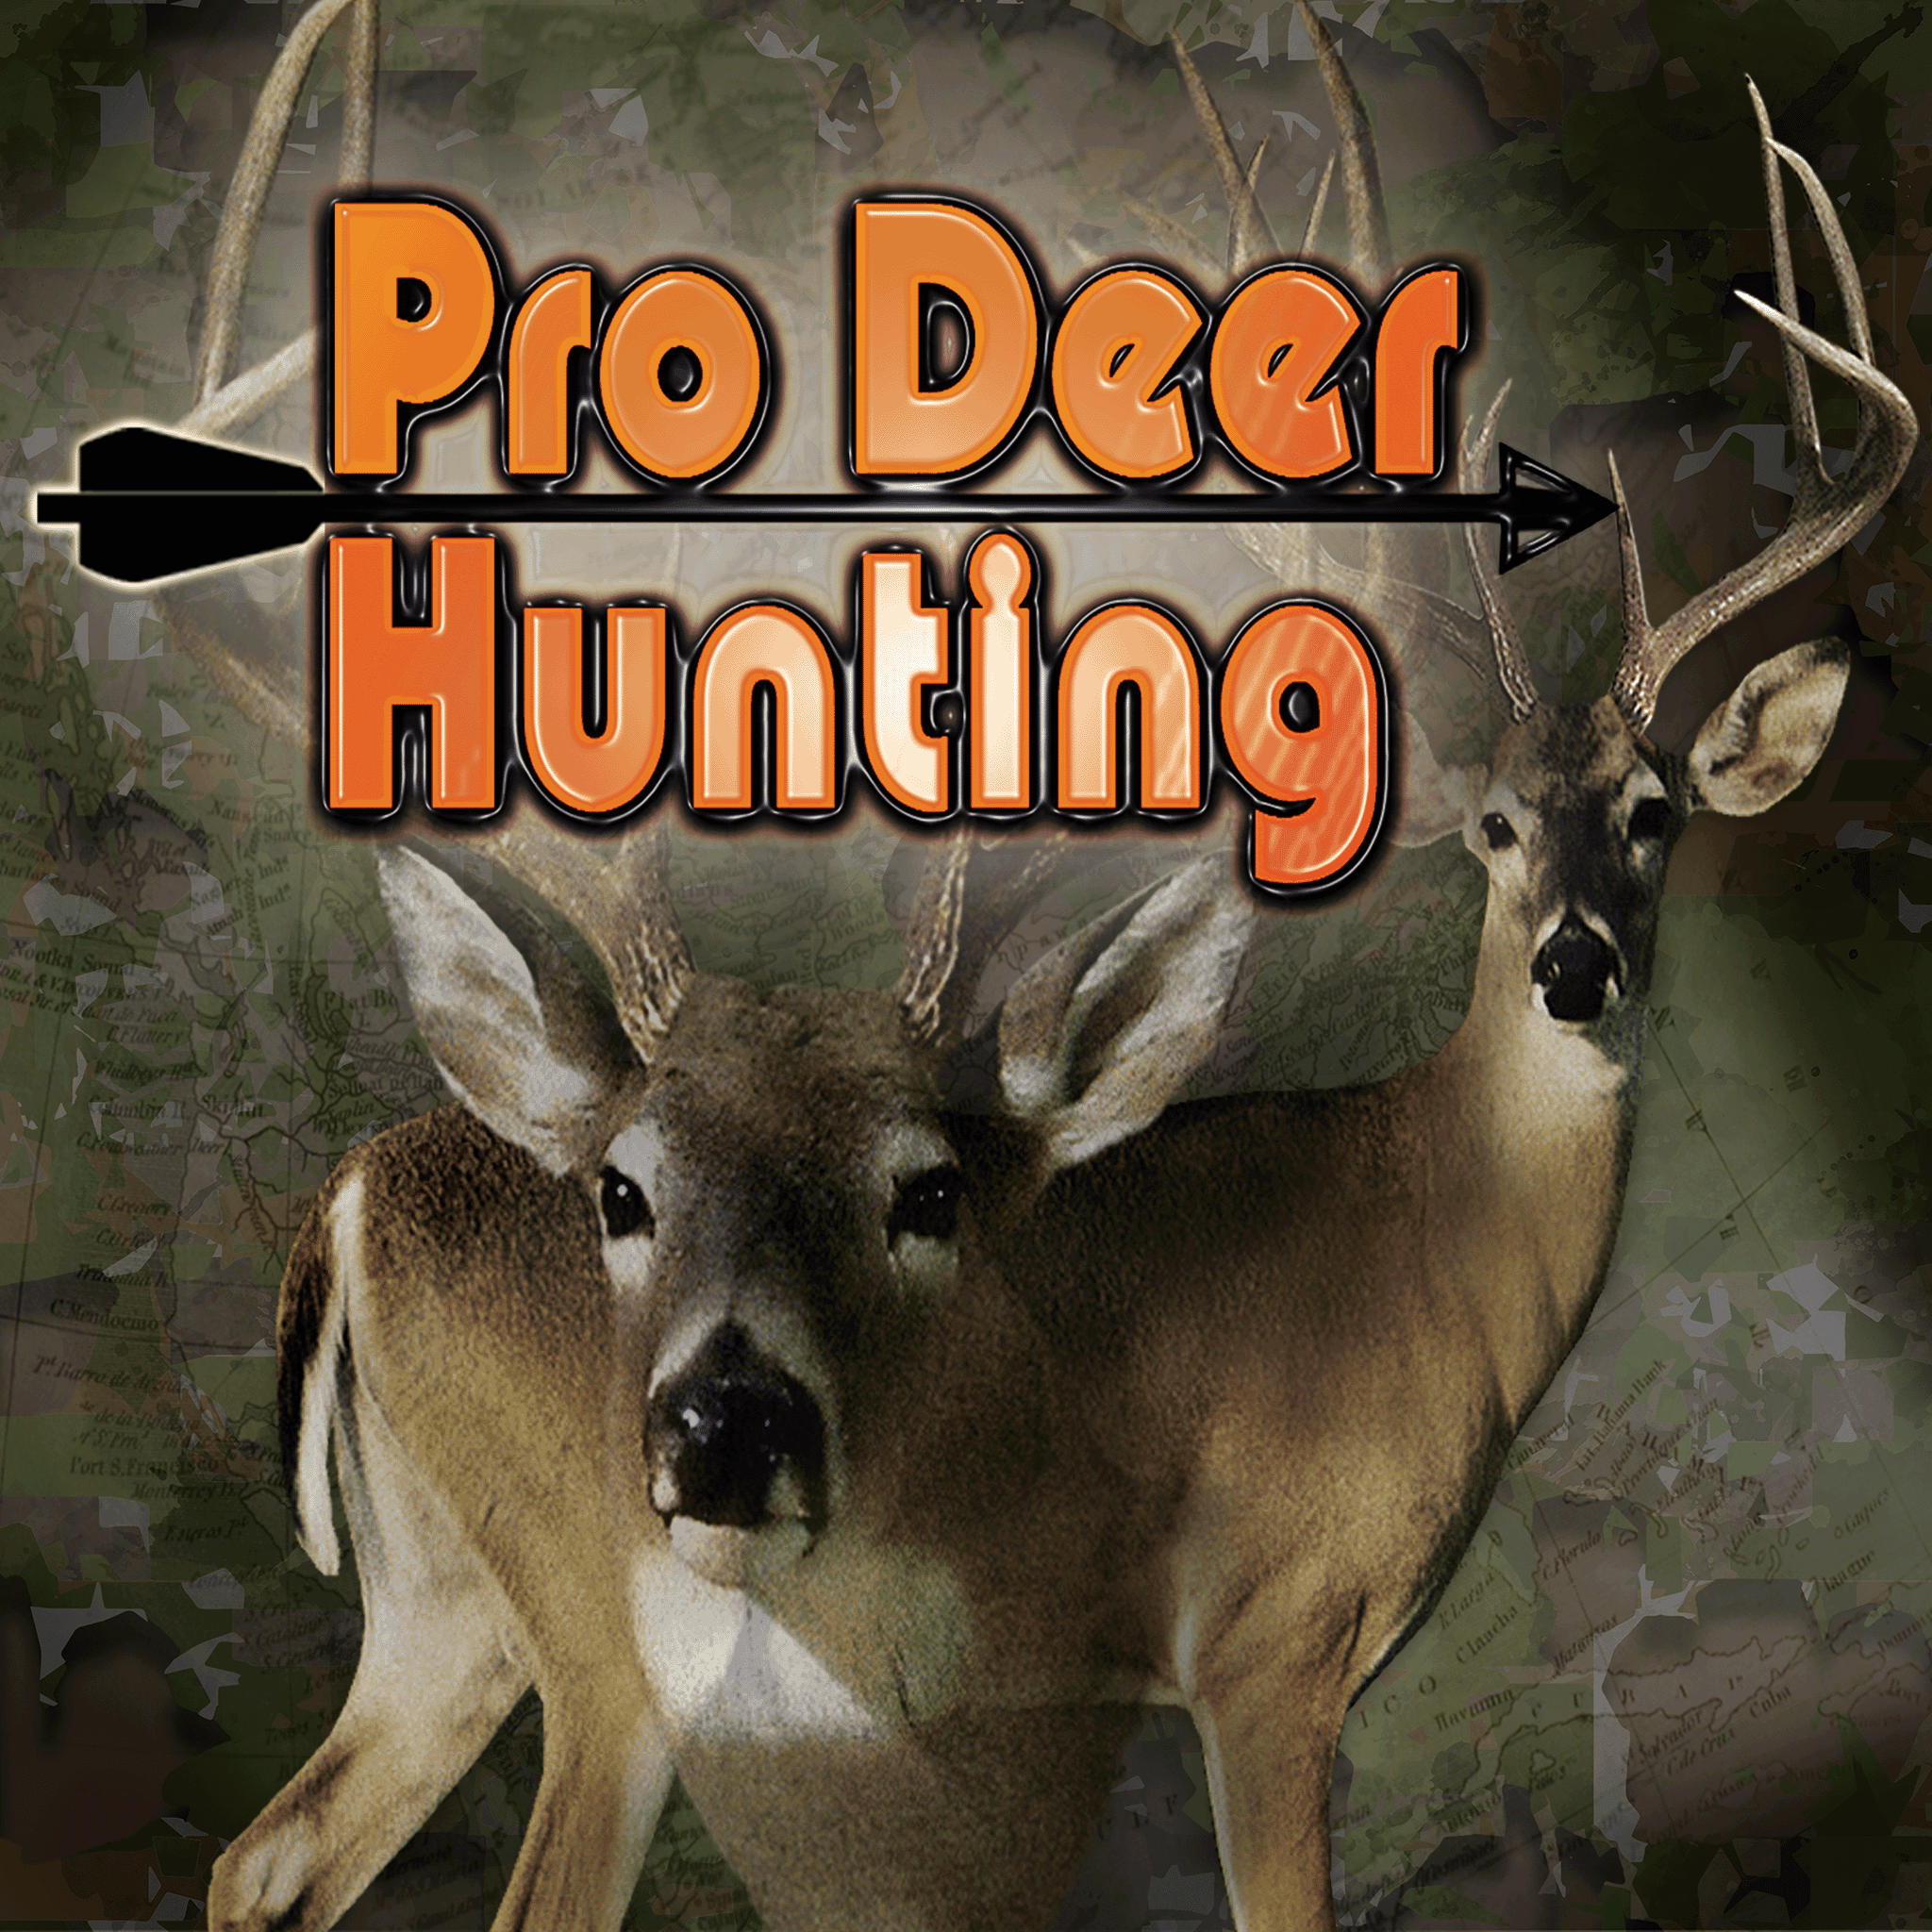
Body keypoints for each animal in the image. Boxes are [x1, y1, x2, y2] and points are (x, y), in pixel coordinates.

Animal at [121, 3, 1914, 1928]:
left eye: (1655, 813)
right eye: (1495, 829)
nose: (1576, 965)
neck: (1435, 1238)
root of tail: (351, 1195)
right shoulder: (1263, 1647)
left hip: (445, 1612)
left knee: (270, 1855)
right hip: (613, 1620)